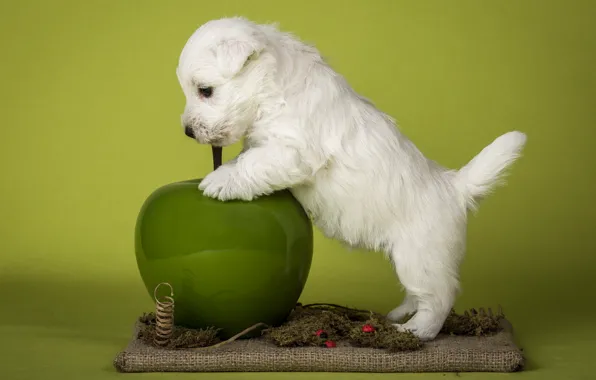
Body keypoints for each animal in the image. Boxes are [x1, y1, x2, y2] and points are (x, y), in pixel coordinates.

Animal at [176, 16, 528, 340]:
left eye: (205, 91)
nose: (188, 131)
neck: (273, 87)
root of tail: (455, 188)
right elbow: (248, 155)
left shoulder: (292, 151)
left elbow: (253, 162)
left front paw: (220, 180)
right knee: (420, 294)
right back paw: (401, 313)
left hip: (420, 257)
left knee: (439, 298)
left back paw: (416, 331)